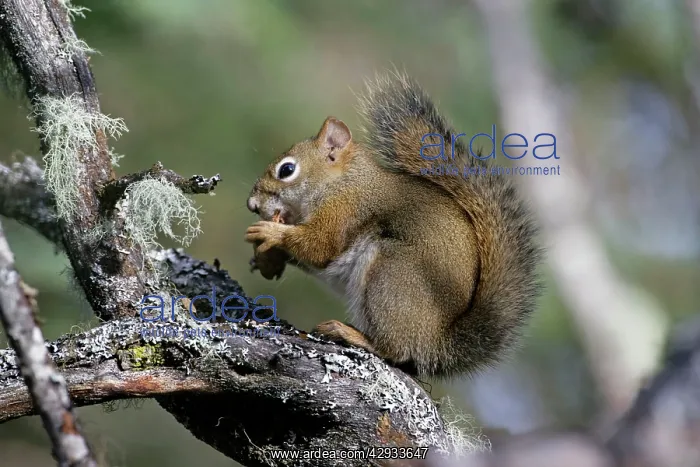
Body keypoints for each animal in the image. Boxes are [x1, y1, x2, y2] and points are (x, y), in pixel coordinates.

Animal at [245, 72, 543, 377]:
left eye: (287, 170)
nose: (252, 204)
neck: (342, 182)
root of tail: (436, 345)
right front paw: (267, 259)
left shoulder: (345, 209)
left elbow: (320, 247)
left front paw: (270, 232)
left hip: (391, 275)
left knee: (397, 350)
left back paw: (350, 334)